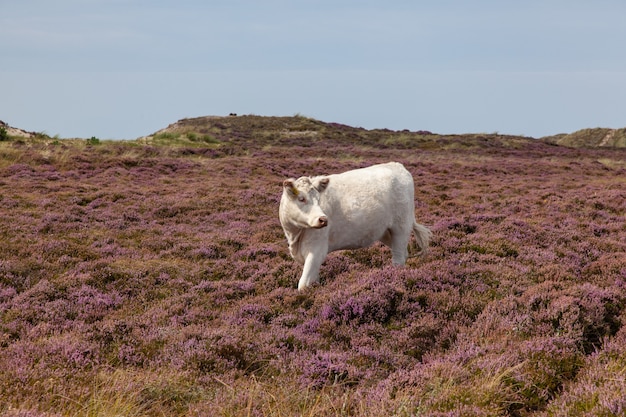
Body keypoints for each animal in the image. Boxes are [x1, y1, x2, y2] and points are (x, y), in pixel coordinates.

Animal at [278, 162, 428, 290]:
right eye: (301, 199)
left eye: (318, 199)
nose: (323, 219)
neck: (295, 235)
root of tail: (398, 166)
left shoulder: (316, 249)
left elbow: (303, 284)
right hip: (385, 232)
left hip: (401, 227)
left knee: (398, 258)